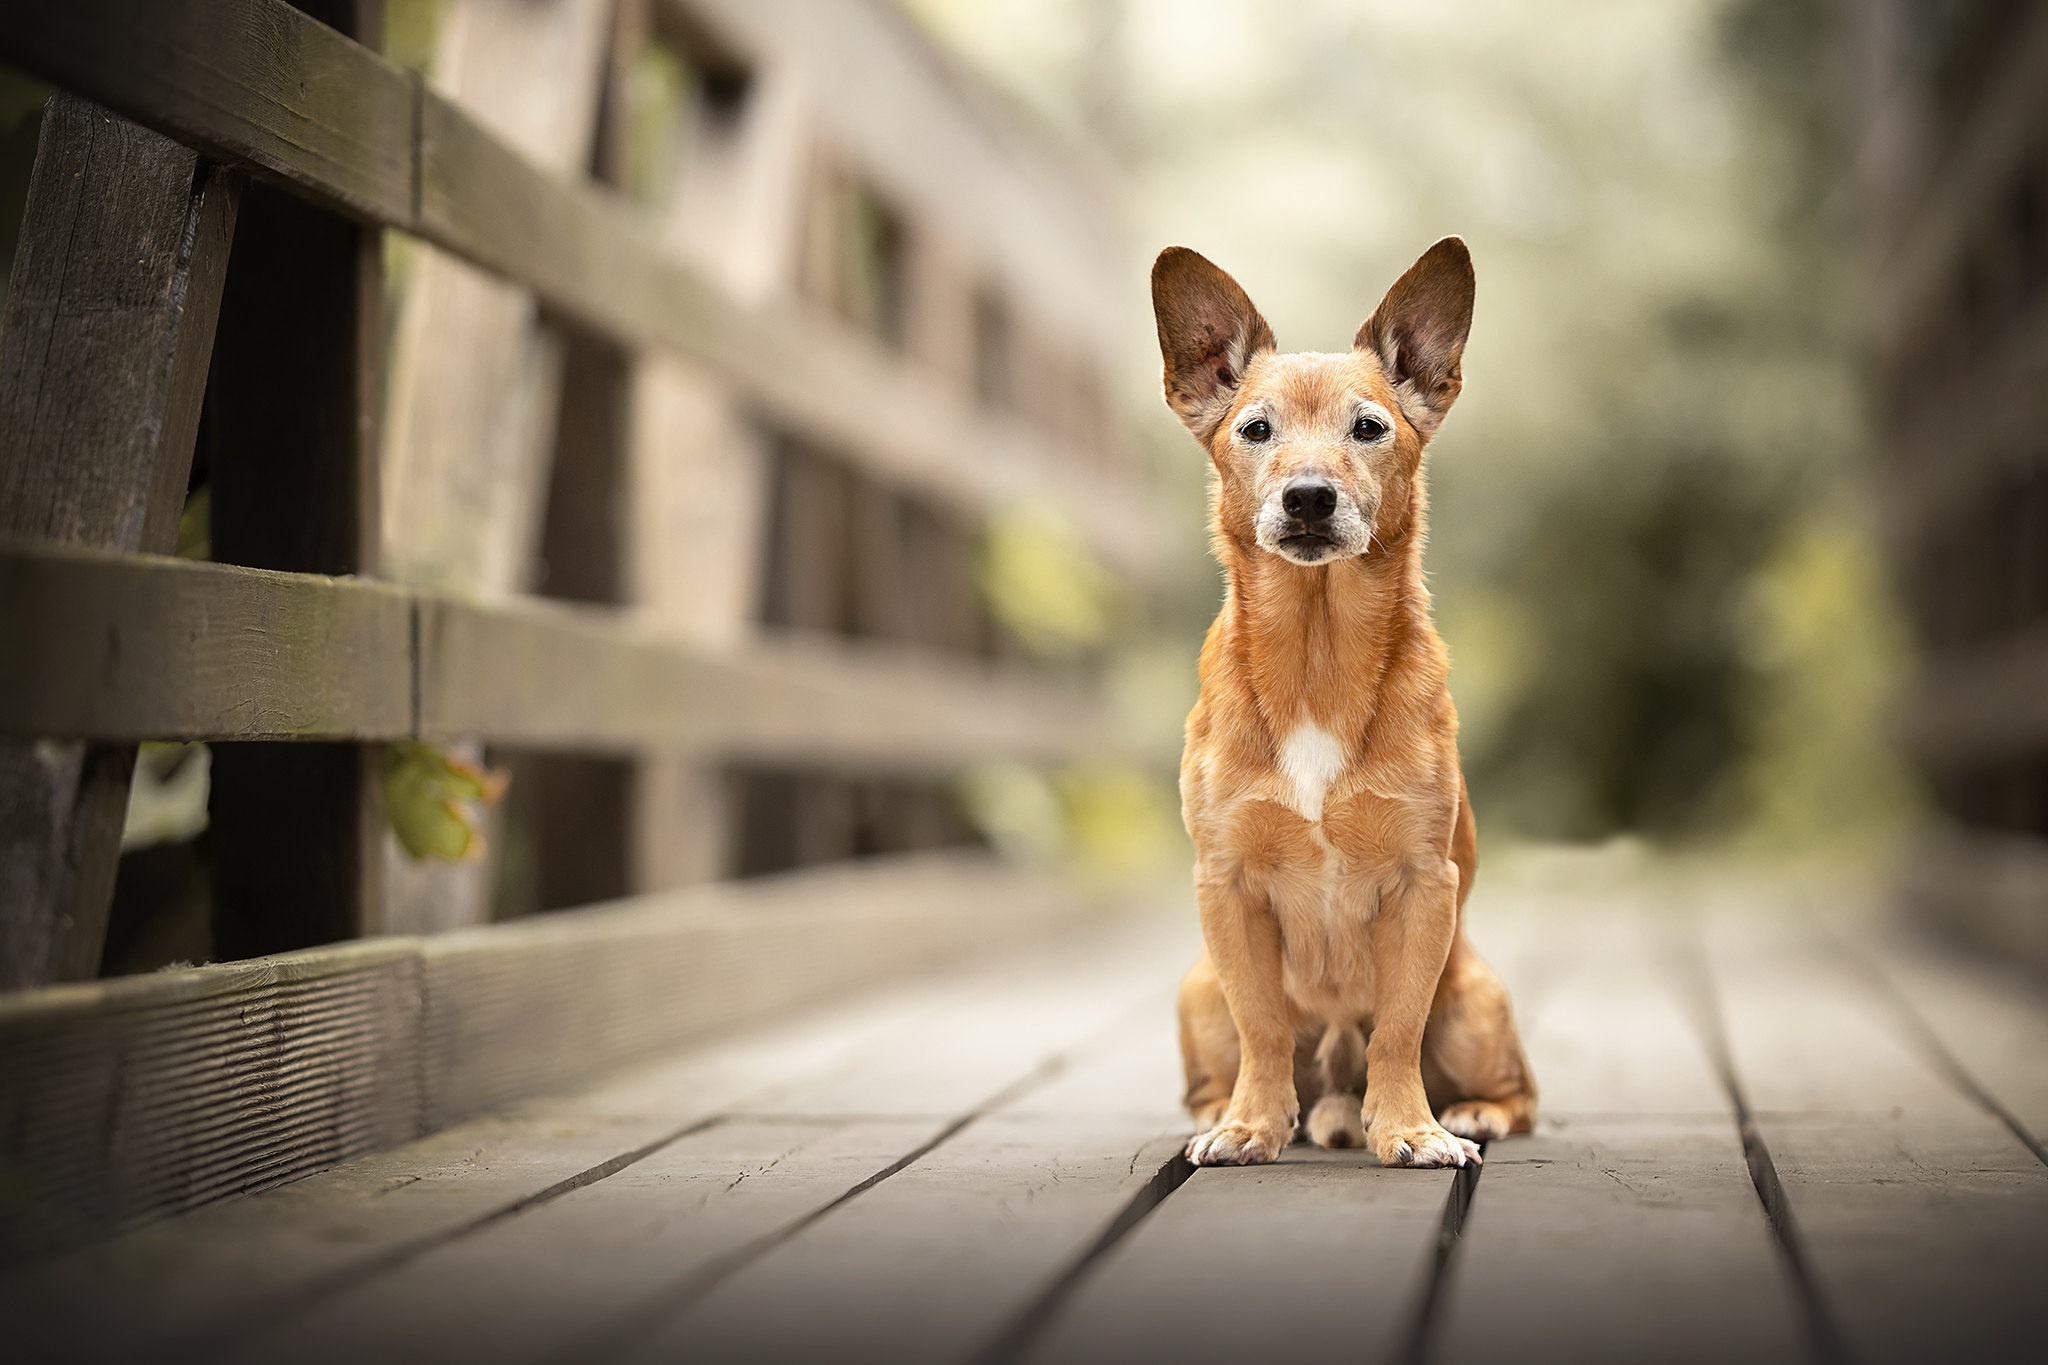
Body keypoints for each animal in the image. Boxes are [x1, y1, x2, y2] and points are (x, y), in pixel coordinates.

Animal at [1155, 237, 1540, 1178]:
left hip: (1474, 998)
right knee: (1231, 1065)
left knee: (1523, 1092)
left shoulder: (1422, 884)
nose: (1308, 496)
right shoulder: (1227, 885)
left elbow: (1397, 1029)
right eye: (1255, 429)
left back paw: (1468, 1110)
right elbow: (1261, 1026)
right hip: (1198, 989)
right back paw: (1238, 1111)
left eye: (1368, 427)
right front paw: (1250, 1126)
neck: (1317, 656)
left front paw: (1410, 1127)